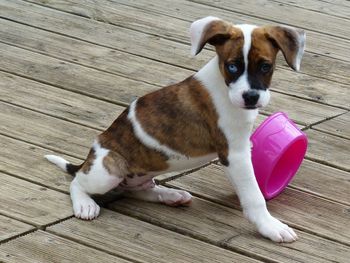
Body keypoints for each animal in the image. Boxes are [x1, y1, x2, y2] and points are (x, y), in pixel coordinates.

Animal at [45, 16, 304, 243]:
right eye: (232, 66)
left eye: (265, 66)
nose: (250, 97)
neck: (224, 85)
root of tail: (89, 157)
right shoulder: (234, 154)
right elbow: (254, 195)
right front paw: (270, 226)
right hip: (108, 170)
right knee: (77, 182)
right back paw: (85, 204)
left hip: (137, 175)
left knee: (136, 190)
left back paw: (171, 195)